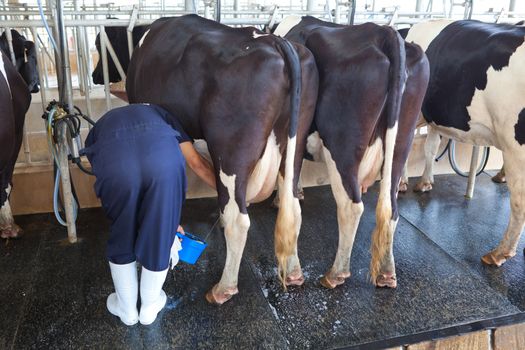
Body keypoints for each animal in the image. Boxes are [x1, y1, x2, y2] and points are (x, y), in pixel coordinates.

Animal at [125, 14, 318, 304]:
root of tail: (275, 42)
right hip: (294, 146)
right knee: (292, 207)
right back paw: (295, 273)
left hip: (232, 151)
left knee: (238, 220)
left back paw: (223, 288)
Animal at [274, 16, 430, 288]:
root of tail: (384, 33)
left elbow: (289, 178)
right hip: (402, 142)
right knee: (391, 208)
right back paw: (387, 273)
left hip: (342, 146)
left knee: (351, 206)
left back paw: (336, 274)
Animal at [402, 19, 524, 266]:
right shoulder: (432, 116)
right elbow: (430, 148)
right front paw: (425, 182)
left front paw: (403, 182)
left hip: (515, 145)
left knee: (519, 202)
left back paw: (499, 252)